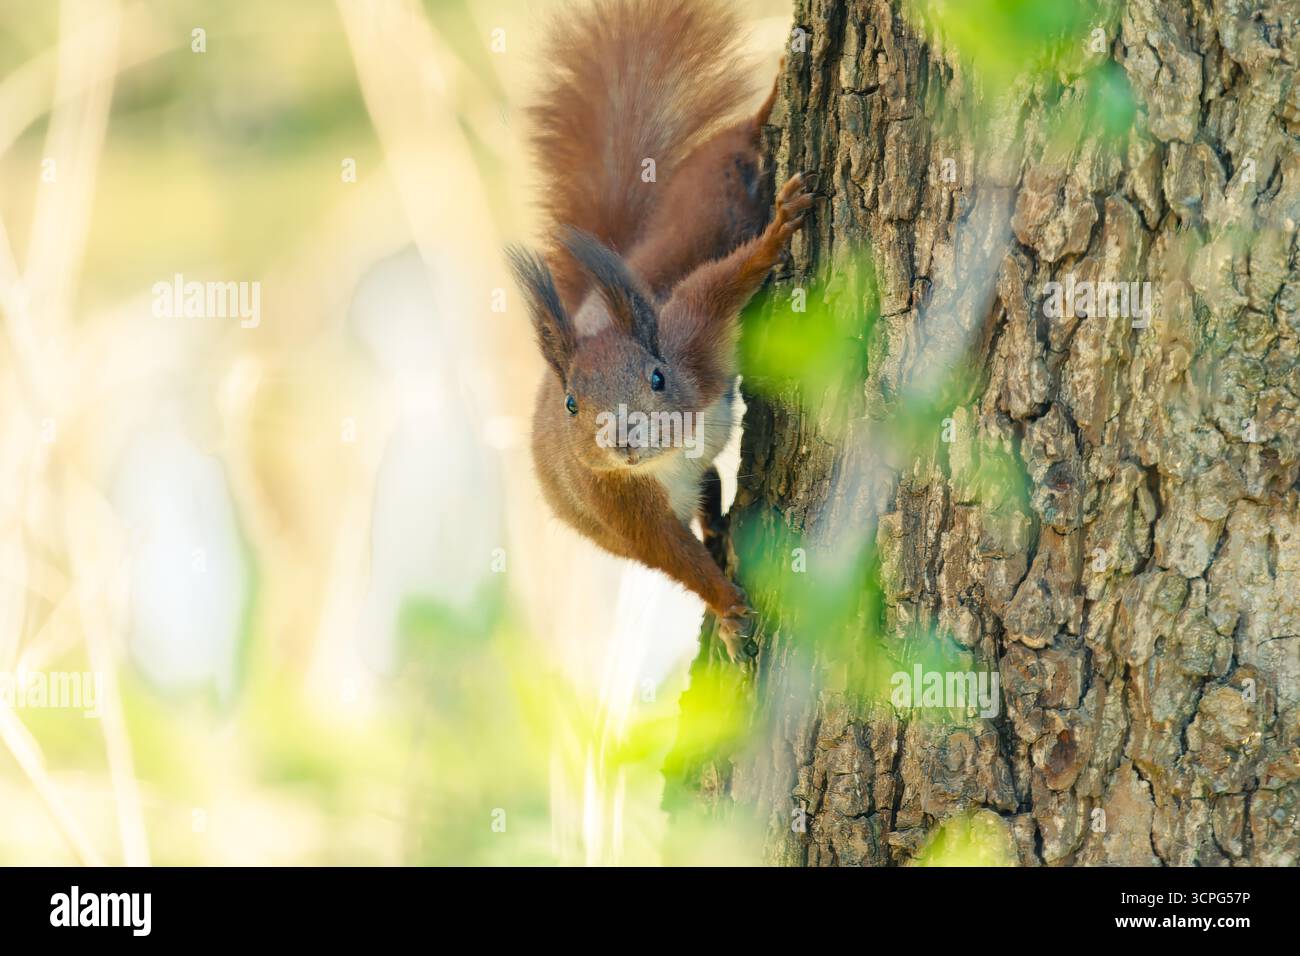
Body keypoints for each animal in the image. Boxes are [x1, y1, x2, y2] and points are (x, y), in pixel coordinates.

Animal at [508, 0, 813, 662]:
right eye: (571, 404)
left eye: (657, 377)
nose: (622, 438)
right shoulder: (621, 511)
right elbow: (678, 562)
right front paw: (728, 610)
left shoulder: (691, 336)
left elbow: (720, 283)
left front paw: (775, 238)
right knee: (707, 491)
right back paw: (718, 529)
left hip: (703, 214)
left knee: (730, 153)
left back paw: (768, 106)